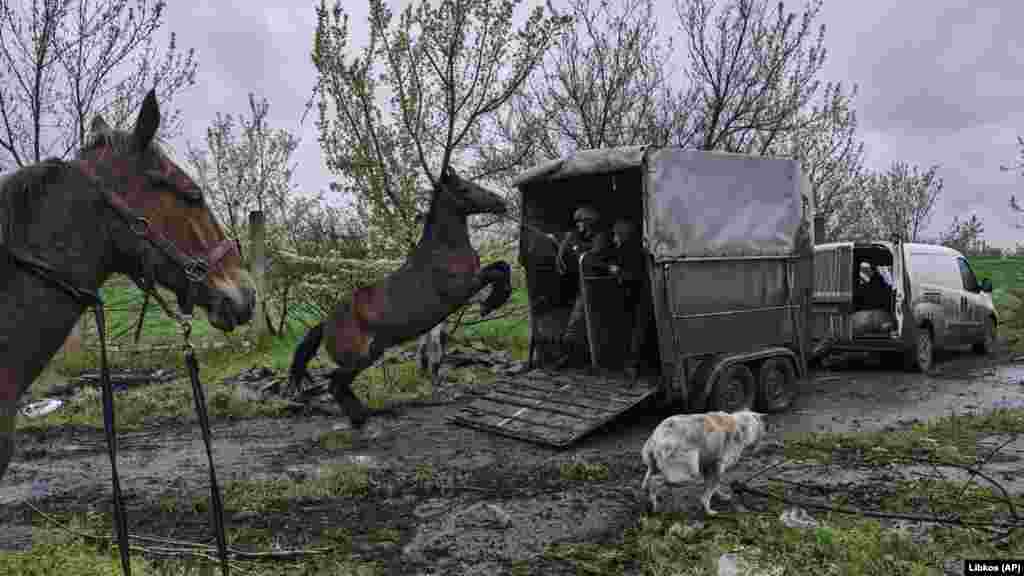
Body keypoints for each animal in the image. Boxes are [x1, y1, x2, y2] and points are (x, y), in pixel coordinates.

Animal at [288, 166, 512, 426]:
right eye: (465, 188)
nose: (501, 202)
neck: (443, 250)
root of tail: (325, 324)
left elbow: (502, 265)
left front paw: (495, 299)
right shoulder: (463, 288)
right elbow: (496, 272)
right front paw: (492, 303)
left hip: (371, 353)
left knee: (339, 384)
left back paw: (364, 415)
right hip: (360, 357)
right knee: (335, 383)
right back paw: (361, 419)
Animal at [638, 409, 770, 512]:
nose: (758, 448)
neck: (742, 426)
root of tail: (658, 435)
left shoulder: (709, 467)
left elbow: (712, 487)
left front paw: (720, 497)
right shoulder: (718, 467)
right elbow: (710, 491)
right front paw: (708, 509)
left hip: (655, 466)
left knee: (647, 480)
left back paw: (648, 498)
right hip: (686, 474)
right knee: (655, 481)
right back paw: (654, 505)